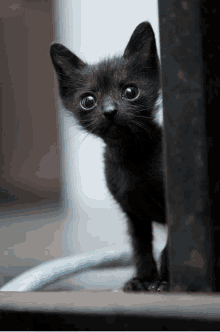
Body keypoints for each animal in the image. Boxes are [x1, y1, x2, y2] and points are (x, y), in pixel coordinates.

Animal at [50, 22, 168, 290]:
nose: (110, 111)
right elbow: (140, 246)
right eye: (88, 100)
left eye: (131, 91)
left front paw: (164, 282)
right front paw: (143, 280)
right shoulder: (133, 214)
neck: (130, 155)